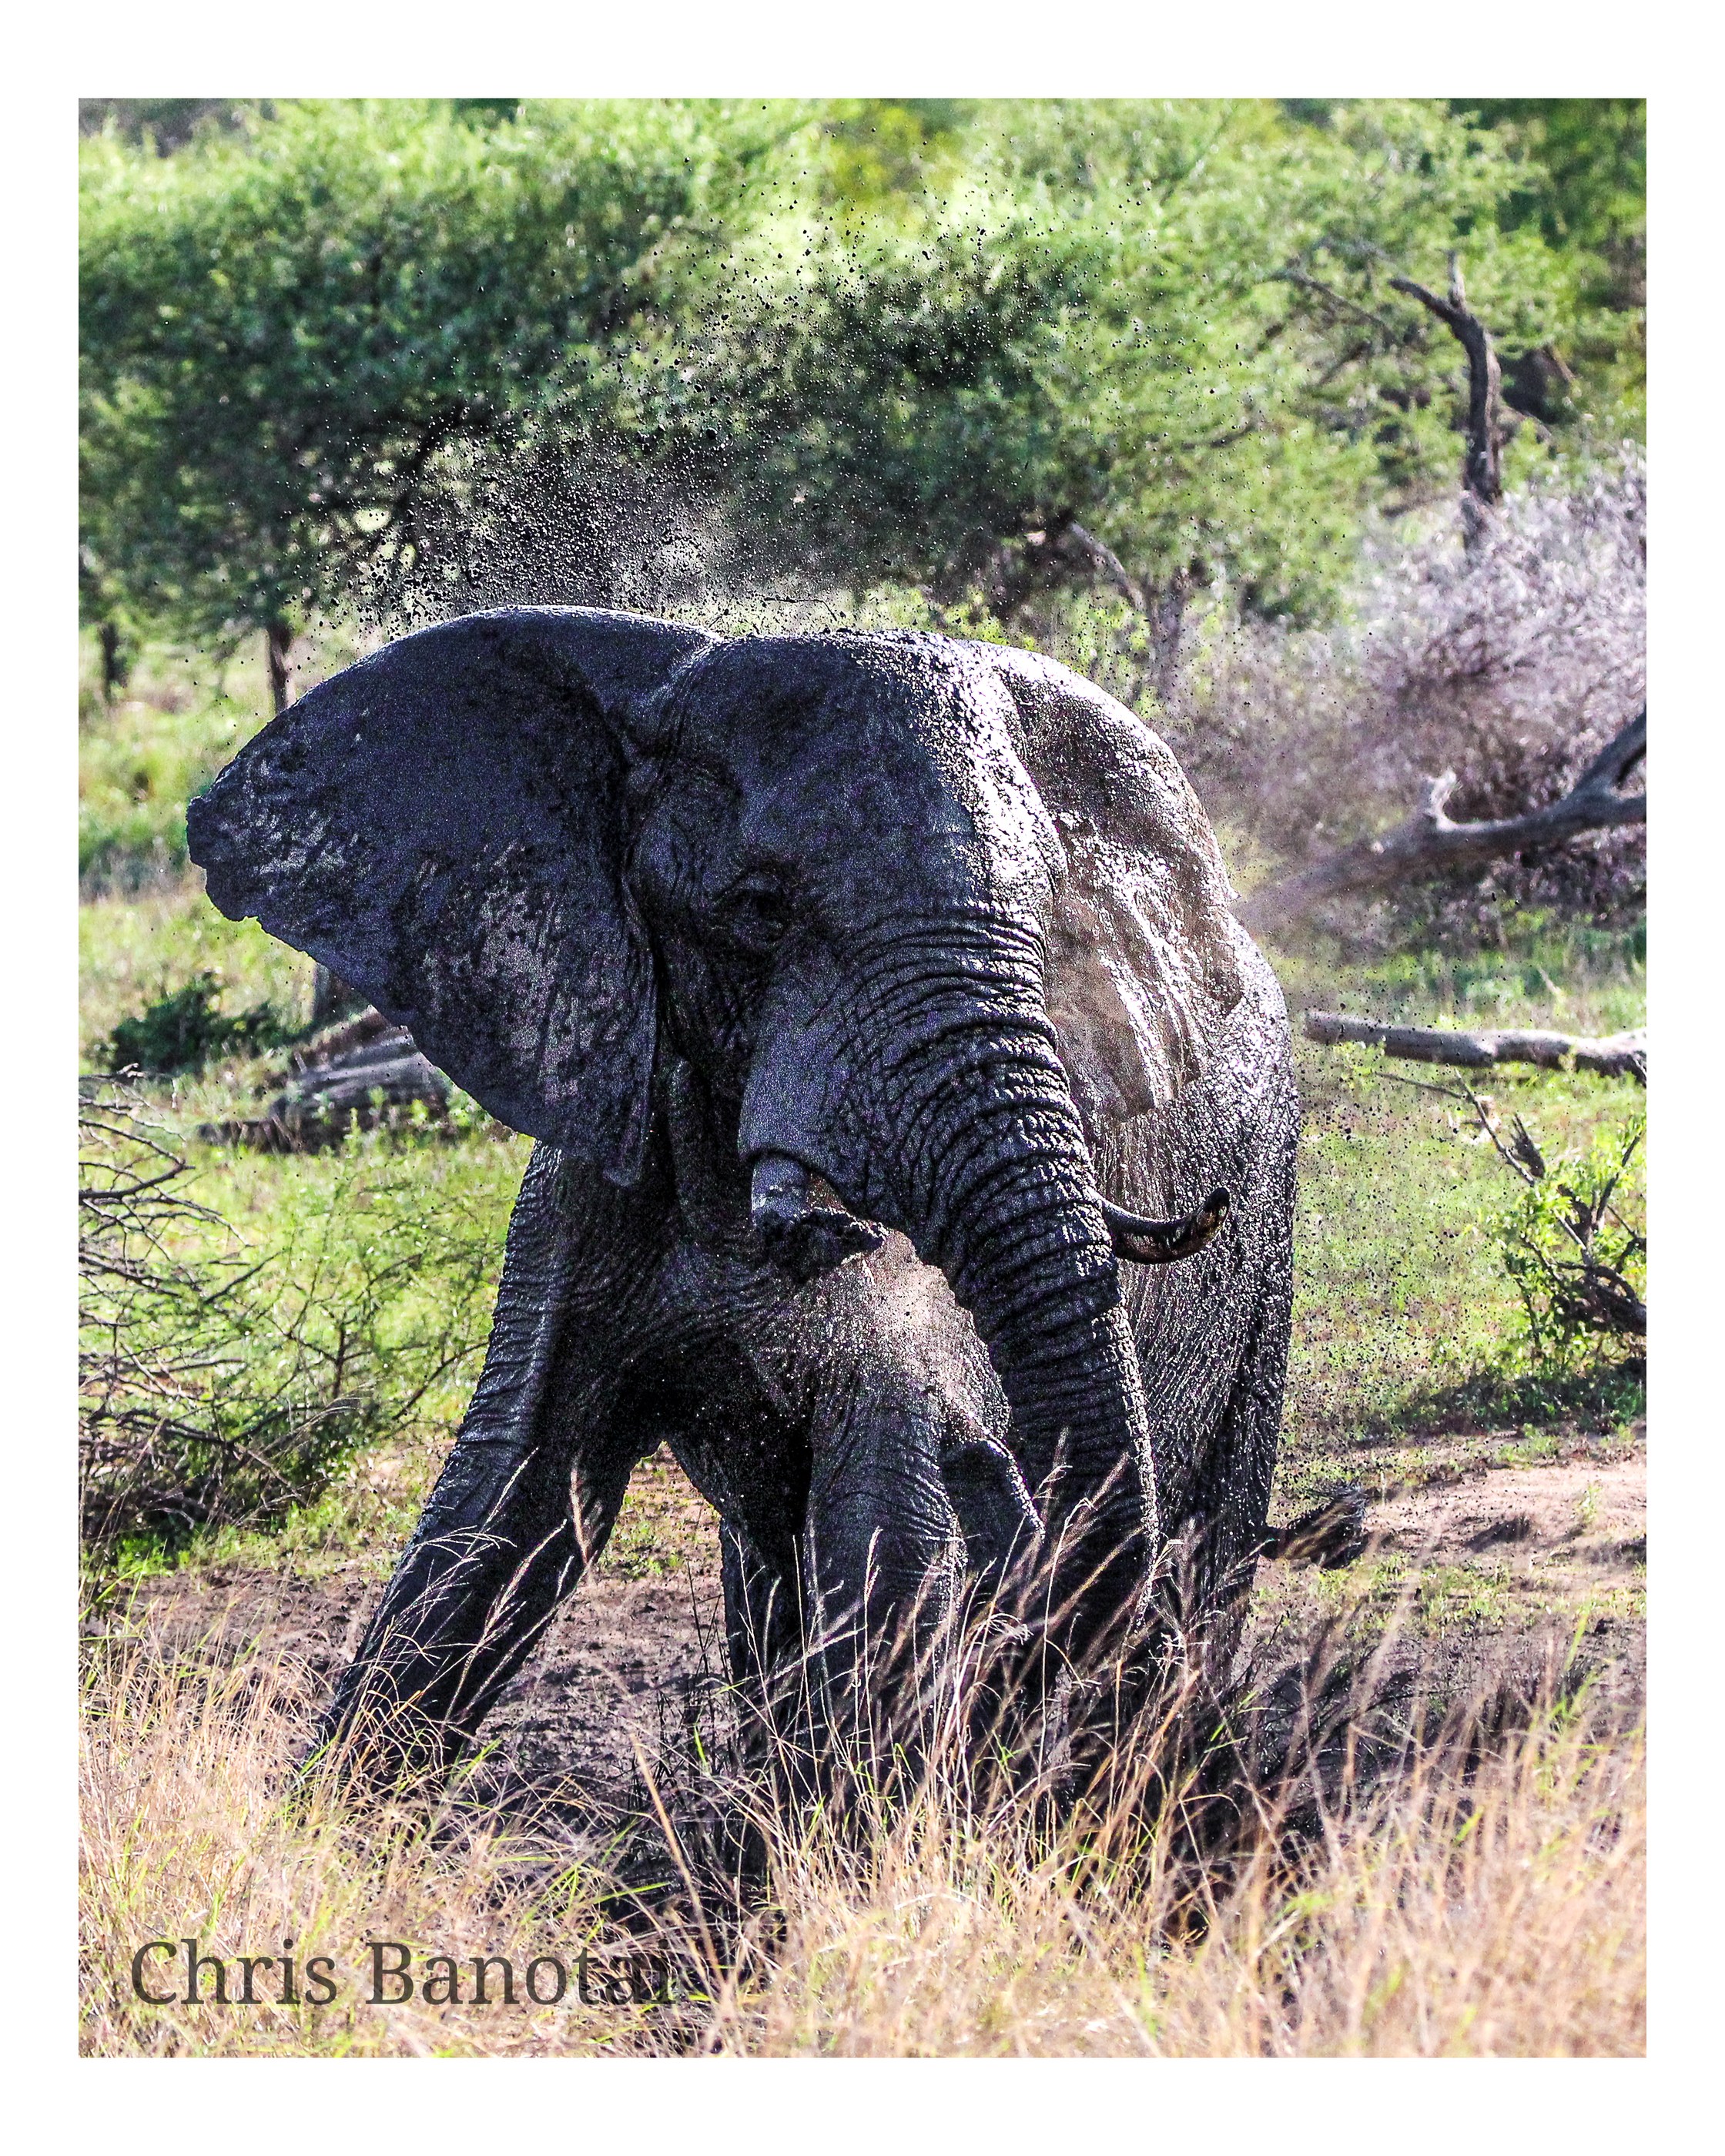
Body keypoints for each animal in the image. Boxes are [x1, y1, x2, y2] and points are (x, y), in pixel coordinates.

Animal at [187, 607, 1297, 1785]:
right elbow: (501, 1502)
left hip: (1270, 1225)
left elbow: (886, 1512)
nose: (999, 1475)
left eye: (1048, 927)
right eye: (759, 912)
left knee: (1214, 1540)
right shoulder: (589, 1177)